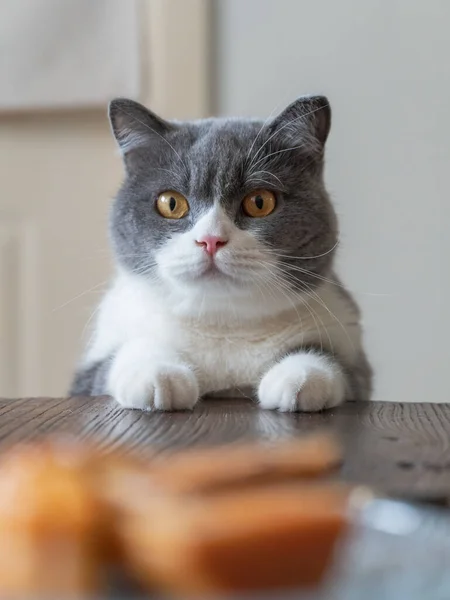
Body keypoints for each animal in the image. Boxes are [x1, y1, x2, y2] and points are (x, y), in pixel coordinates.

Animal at [71, 95, 372, 412]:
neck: (223, 324)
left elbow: (334, 362)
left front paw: (301, 377)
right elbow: (127, 352)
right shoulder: (88, 374)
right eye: (170, 203)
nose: (211, 240)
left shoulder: (354, 356)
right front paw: (157, 375)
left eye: (260, 201)